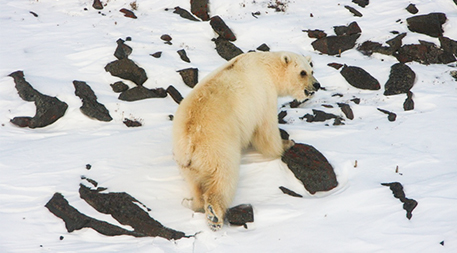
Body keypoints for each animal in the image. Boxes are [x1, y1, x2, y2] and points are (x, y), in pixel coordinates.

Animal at [173, 51, 318, 229]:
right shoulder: (265, 95)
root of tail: (189, 141)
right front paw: (286, 143)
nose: (317, 85)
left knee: (195, 184)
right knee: (223, 177)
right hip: (216, 147)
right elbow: (266, 130)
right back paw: (214, 215)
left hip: (186, 162)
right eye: (303, 72)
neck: (267, 66)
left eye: (312, 71)